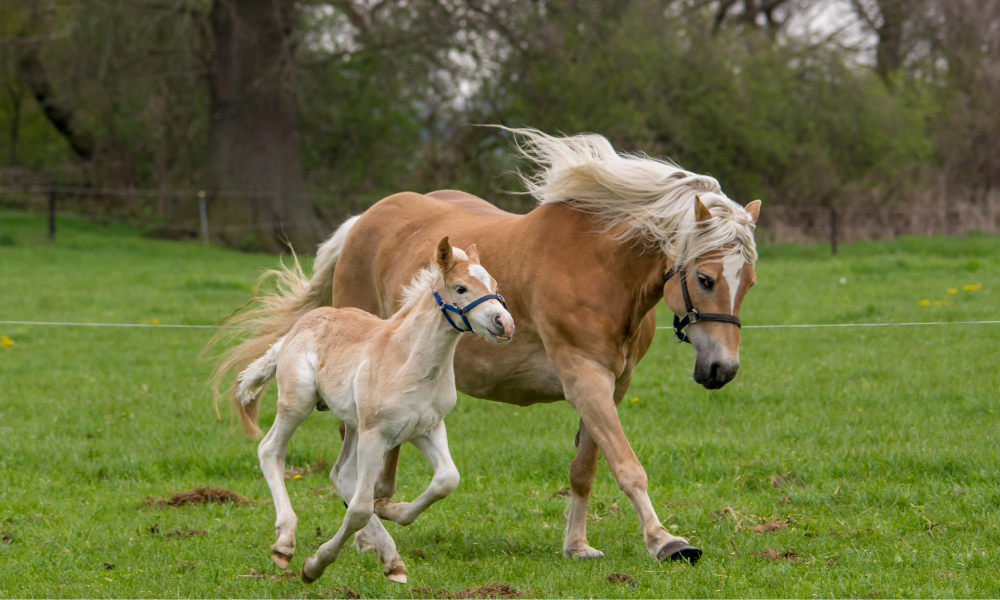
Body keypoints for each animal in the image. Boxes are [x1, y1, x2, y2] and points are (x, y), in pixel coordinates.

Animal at [234, 237, 514, 584]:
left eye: (494, 285)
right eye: (460, 288)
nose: (504, 323)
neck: (411, 363)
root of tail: (298, 327)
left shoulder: (427, 428)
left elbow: (446, 480)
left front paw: (391, 512)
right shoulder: (376, 434)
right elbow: (358, 510)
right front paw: (315, 566)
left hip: (354, 424)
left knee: (341, 474)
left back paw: (390, 557)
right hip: (298, 404)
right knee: (271, 450)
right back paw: (285, 543)